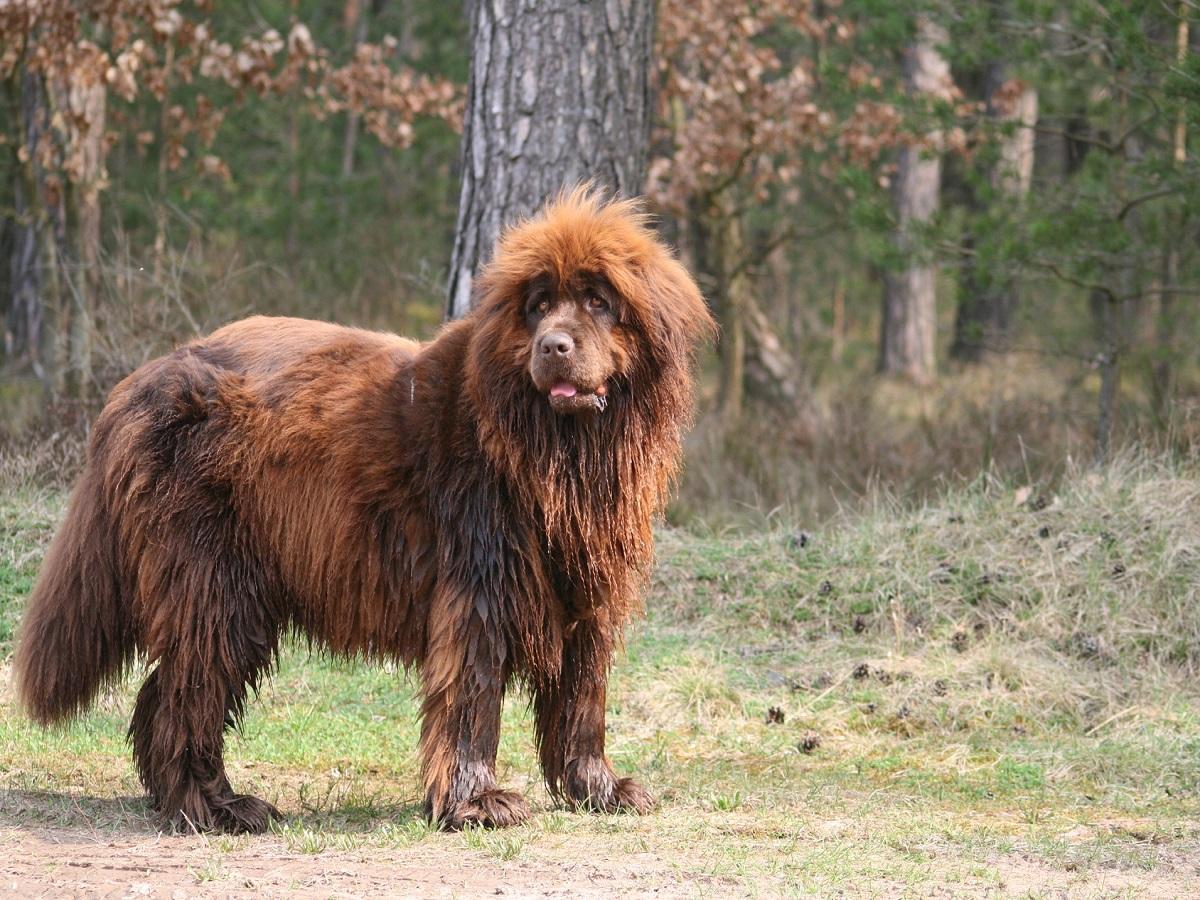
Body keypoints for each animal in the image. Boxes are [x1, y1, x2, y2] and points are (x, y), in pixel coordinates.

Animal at [14, 190, 710, 840]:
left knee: (169, 690)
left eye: (598, 301)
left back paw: (188, 799)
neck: (556, 447)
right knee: (185, 693)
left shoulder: (587, 588)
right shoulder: (480, 578)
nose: (554, 345)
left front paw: (598, 788)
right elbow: (472, 693)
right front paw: (476, 802)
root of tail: (136, 385)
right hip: (214, 577)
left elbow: (583, 696)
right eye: (537, 305)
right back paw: (213, 807)